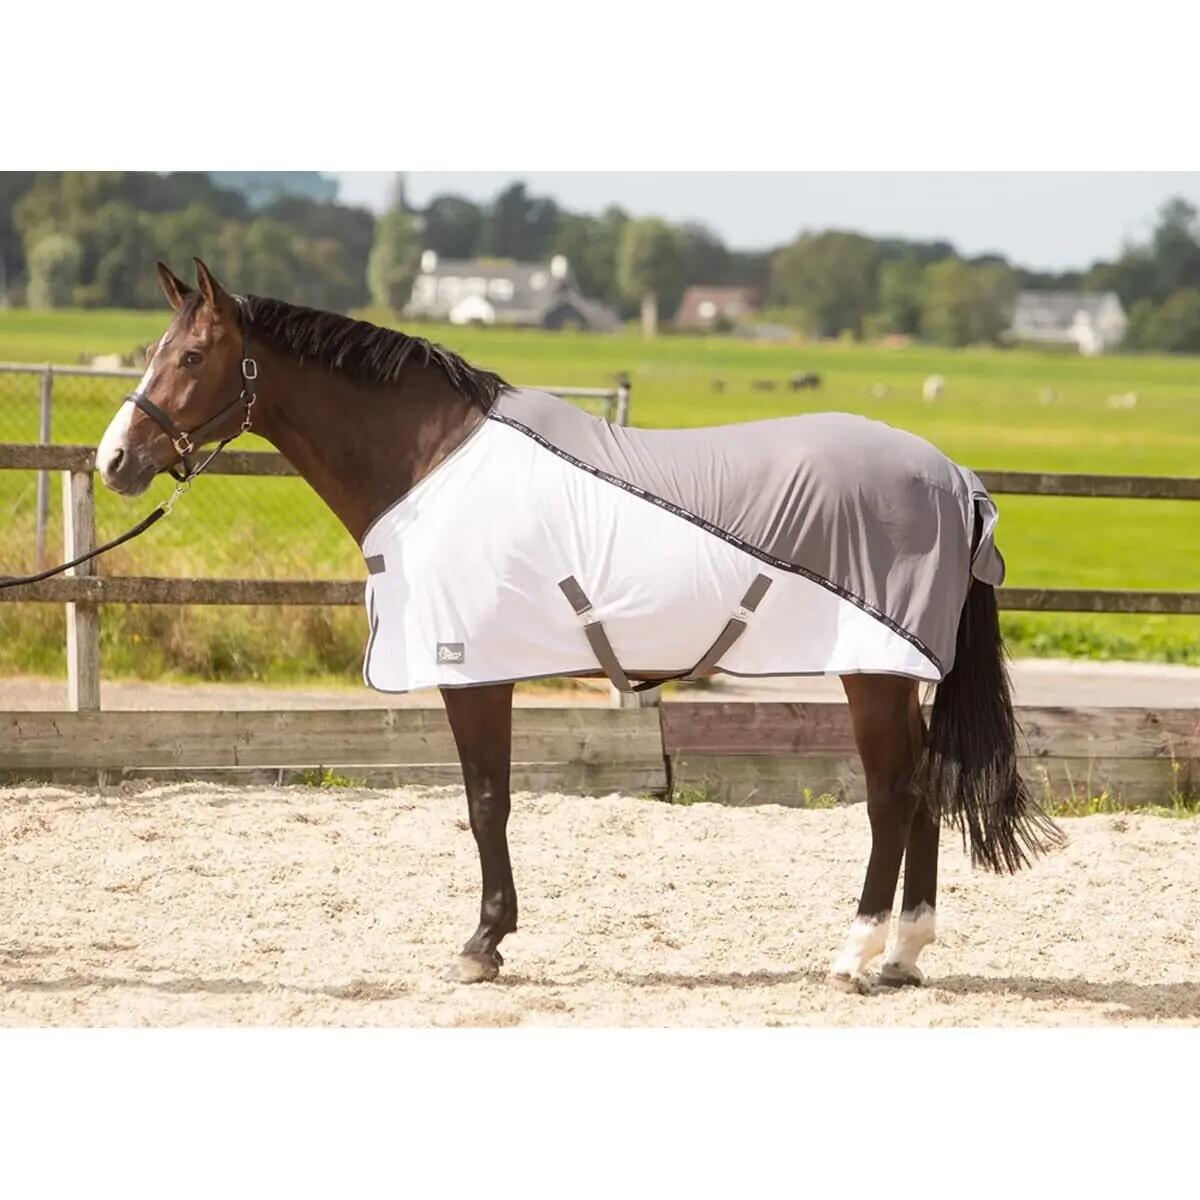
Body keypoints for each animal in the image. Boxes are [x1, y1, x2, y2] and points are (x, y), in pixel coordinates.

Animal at [96, 259, 1061, 992]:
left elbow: (487, 803)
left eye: (190, 355)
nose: (114, 460)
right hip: (896, 673)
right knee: (926, 788)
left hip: (874, 672)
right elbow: (489, 803)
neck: (433, 466)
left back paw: (854, 954)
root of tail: (953, 478)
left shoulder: (473, 670)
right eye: (153, 351)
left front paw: (483, 945)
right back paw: (903, 956)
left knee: (893, 796)